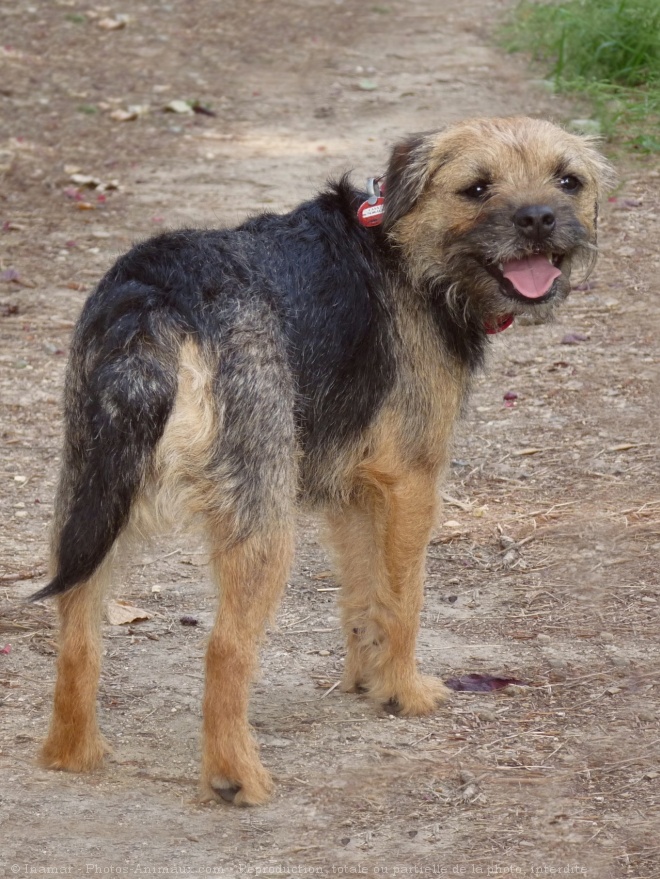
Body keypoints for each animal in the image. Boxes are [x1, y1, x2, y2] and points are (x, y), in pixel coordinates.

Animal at [33, 115, 612, 804]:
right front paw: (405, 691)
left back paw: (73, 753)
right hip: (262, 519)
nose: (539, 219)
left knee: (76, 629)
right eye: (477, 188)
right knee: (225, 649)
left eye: (568, 180)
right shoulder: (413, 484)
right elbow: (404, 599)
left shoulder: (354, 492)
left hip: (89, 499)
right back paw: (236, 776)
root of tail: (156, 300)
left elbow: (364, 595)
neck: (404, 254)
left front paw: (367, 682)